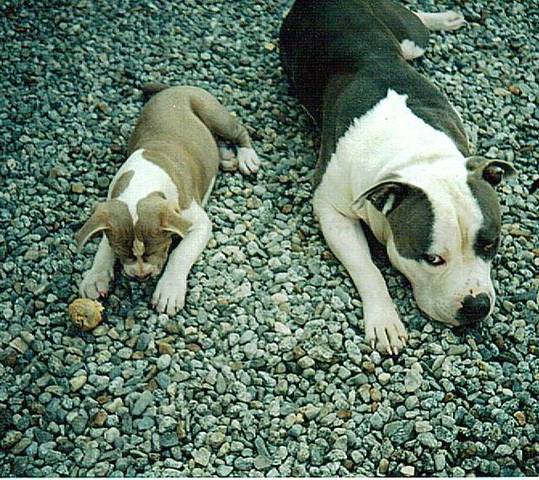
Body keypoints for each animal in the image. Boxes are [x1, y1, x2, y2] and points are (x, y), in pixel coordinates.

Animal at [75, 84, 261, 315]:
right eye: (122, 253)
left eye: (159, 248)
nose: (141, 276)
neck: (142, 184)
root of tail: (176, 87)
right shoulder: (110, 209)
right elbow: (103, 245)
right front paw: (95, 276)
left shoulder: (198, 224)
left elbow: (180, 254)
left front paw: (169, 291)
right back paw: (226, 158)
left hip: (214, 114)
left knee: (238, 130)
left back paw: (247, 157)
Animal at [280, 0, 516, 354]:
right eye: (432, 258)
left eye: (490, 243)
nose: (476, 305)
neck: (416, 155)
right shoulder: (331, 210)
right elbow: (366, 267)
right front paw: (385, 320)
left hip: (411, 40)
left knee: (417, 20)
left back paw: (444, 18)